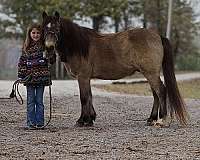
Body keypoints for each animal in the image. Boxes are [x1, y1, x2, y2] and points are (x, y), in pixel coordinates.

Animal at [41, 10, 188, 126]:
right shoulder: (87, 78)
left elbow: (84, 97)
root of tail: (158, 36)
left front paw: (82, 120)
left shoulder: (82, 77)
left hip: (151, 73)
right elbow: (89, 96)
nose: (49, 48)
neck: (79, 46)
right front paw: (90, 119)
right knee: (155, 94)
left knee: (161, 91)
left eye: (57, 28)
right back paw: (151, 119)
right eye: (44, 29)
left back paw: (162, 119)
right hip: (150, 73)